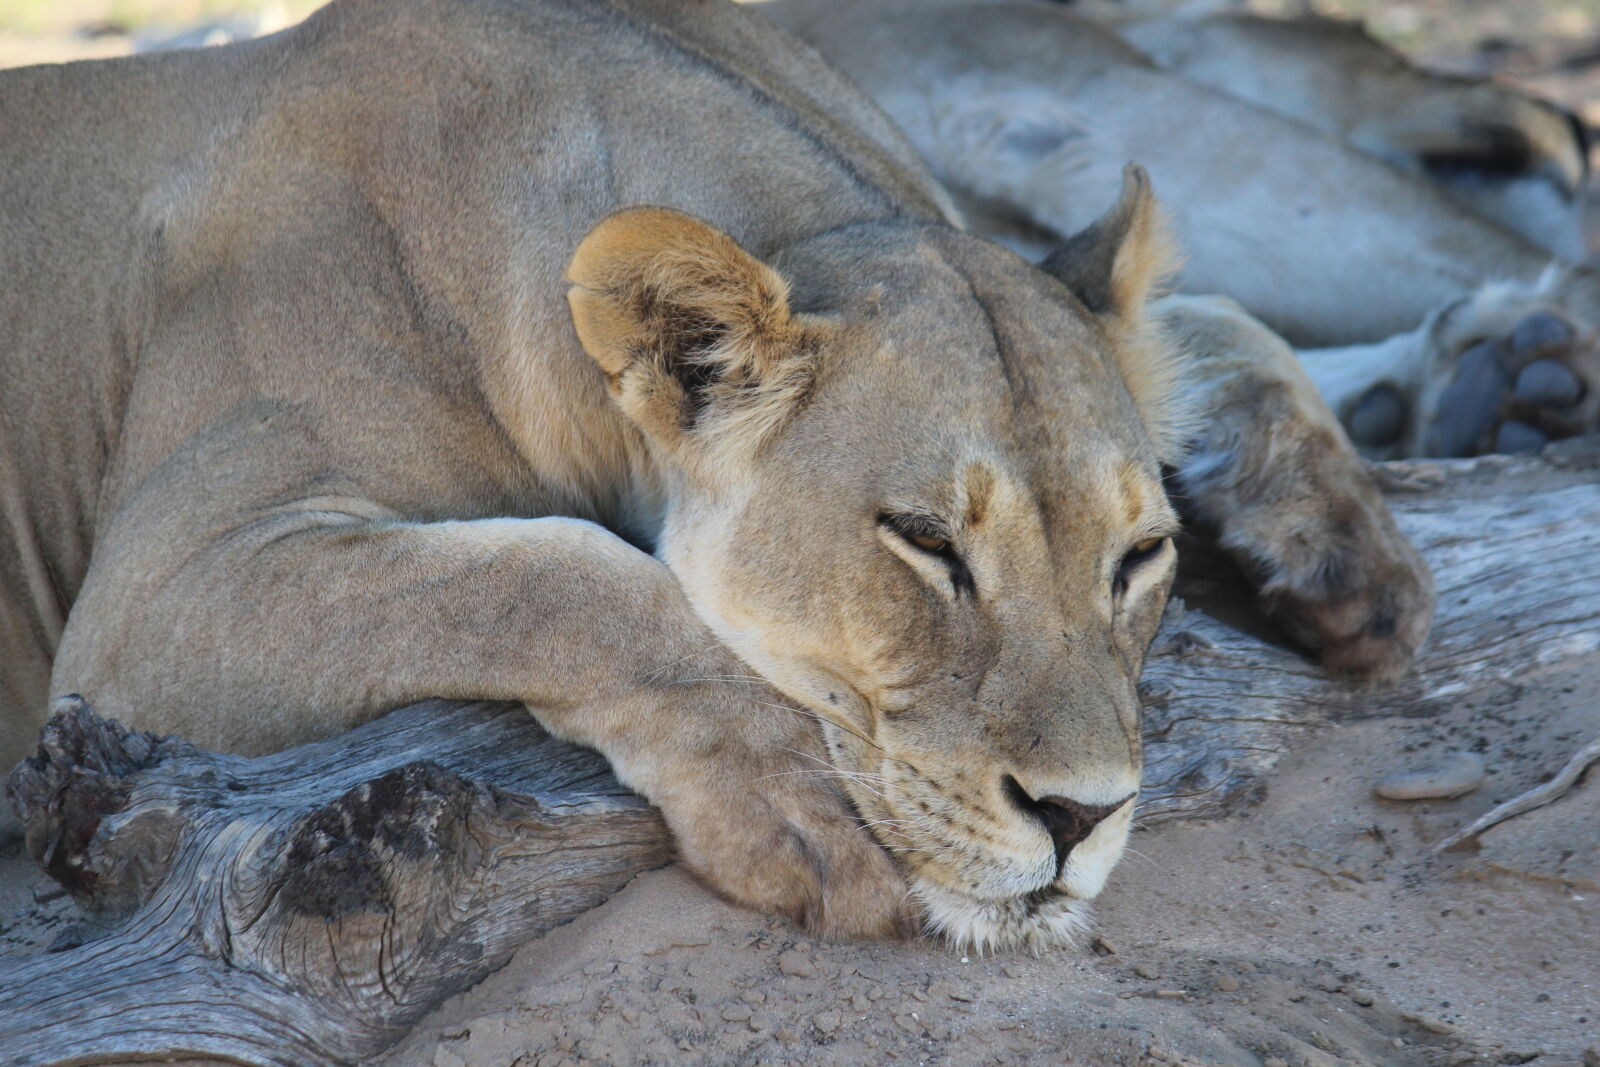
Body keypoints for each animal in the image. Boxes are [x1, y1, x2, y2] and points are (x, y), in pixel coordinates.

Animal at [0, 0, 1430, 950]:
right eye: (925, 541)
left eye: (1139, 557)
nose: (1081, 818)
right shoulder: (156, 596)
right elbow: (546, 570)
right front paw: (793, 799)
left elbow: (1219, 313)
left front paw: (1344, 550)